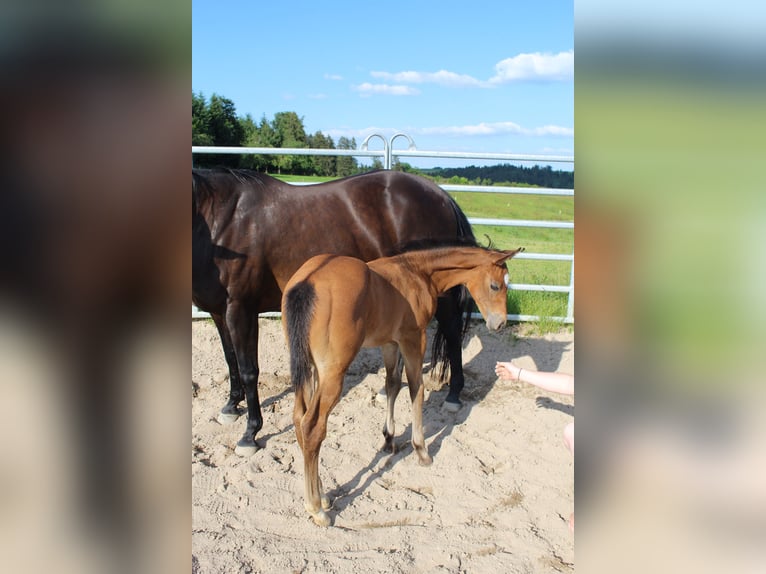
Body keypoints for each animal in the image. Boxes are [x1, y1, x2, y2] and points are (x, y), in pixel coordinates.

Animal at [192, 169, 476, 456]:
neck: (224, 221)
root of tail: (441, 195)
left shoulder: (241, 309)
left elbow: (249, 370)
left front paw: (250, 433)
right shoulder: (220, 312)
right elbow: (231, 360)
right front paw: (231, 406)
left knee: (453, 333)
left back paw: (453, 395)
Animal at [284, 243, 528, 528]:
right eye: (495, 285)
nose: (499, 323)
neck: (418, 273)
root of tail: (307, 282)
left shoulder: (390, 342)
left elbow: (391, 384)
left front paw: (389, 439)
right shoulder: (414, 338)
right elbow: (416, 389)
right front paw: (421, 450)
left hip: (309, 368)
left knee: (299, 419)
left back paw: (322, 495)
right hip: (332, 373)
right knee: (312, 427)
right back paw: (316, 508)